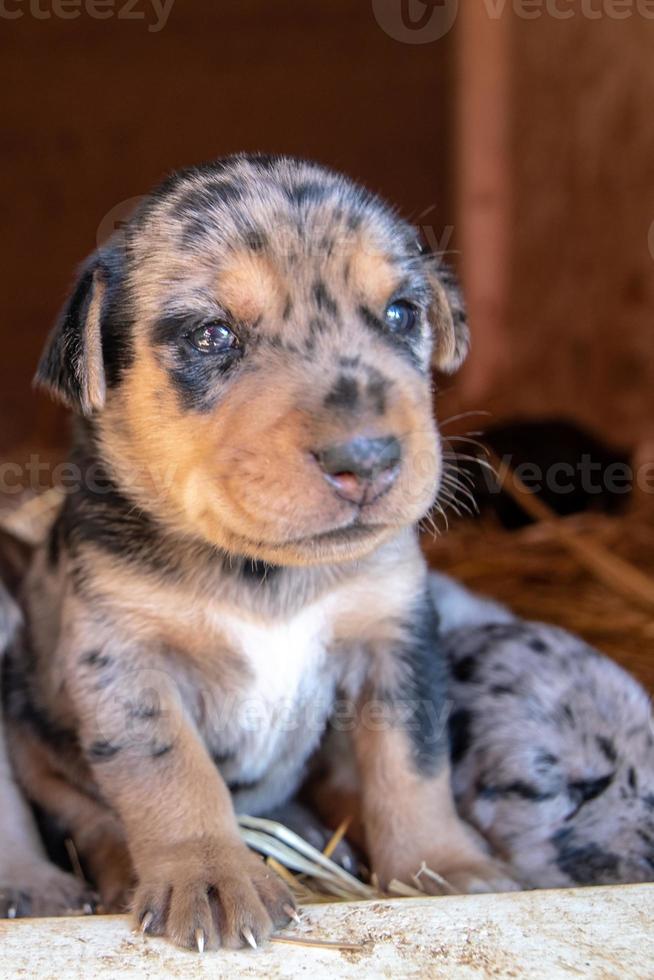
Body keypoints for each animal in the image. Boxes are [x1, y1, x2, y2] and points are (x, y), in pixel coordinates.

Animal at [3, 155, 512, 948]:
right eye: (212, 335)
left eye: (401, 313)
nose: (366, 460)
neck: (266, 573)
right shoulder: (125, 659)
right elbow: (173, 773)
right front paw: (211, 877)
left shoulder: (395, 635)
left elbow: (413, 763)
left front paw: (445, 866)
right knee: (93, 818)